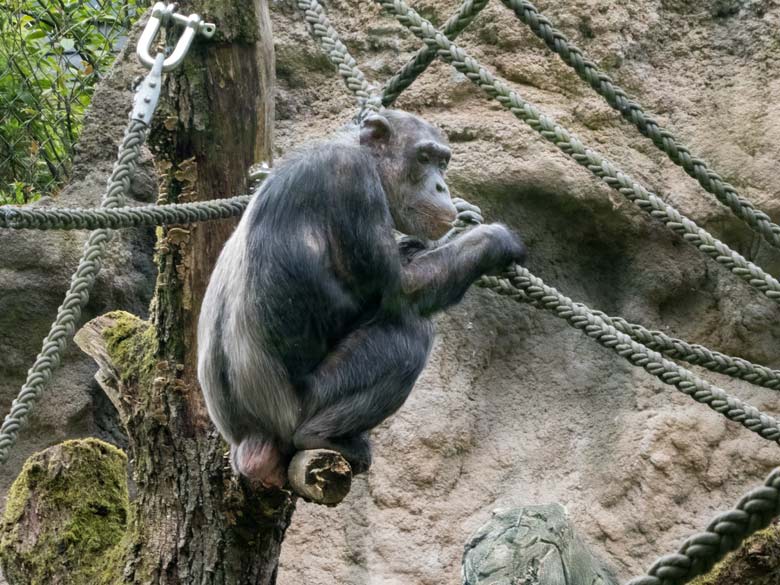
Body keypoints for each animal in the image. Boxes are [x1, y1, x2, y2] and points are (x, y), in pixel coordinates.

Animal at [195, 109, 528, 488]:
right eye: (424, 158)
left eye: (442, 162)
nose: (441, 186)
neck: (363, 154)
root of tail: (249, 442)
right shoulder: (353, 180)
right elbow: (402, 289)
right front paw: (495, 237)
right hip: (300, 407)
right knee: (409, 335)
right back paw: (323, 435)